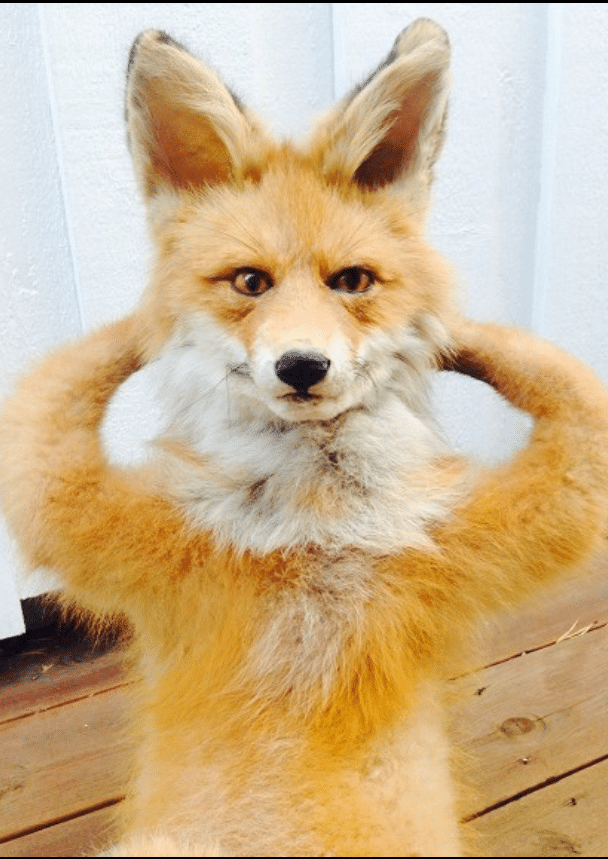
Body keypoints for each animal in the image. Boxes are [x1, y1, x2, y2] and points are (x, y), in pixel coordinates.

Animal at [1, 17, 608, 857]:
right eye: (250, 283)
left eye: (350, 281)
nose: (301, 366)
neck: (314, 524)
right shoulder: (101, 522)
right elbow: (44, 419)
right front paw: (144, 321)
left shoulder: (494, 531)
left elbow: (580, 408)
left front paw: (457, 333)